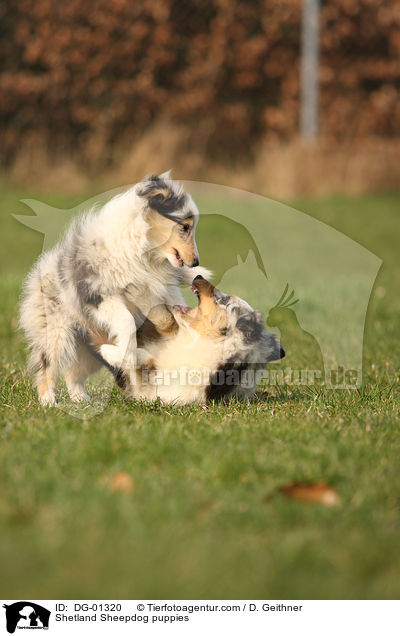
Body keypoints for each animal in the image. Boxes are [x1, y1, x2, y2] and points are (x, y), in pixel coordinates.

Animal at [18, 171, 209, 404]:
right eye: (185, 227)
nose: (196, 262)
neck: (143, 251)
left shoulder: (164, 292)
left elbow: (171, 317)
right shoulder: (98, 295)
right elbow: (127, 323)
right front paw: (128, 357)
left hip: (88, 348)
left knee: (74, 375)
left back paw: (83, 401)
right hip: (56, 331)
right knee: (47, 366)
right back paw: (49, 403)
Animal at [83, 276, 284, 404]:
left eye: (224, 299)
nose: (198, 275)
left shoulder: (153, 388)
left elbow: (137, 361)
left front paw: (106, 349)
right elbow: (164, 318)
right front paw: (140, 291)